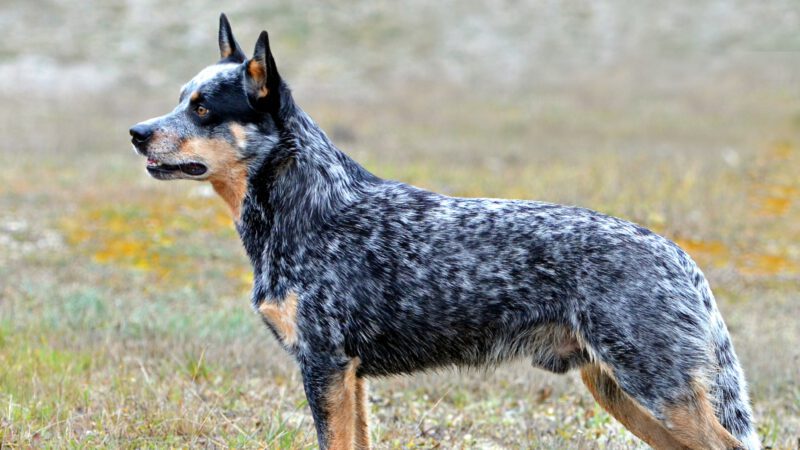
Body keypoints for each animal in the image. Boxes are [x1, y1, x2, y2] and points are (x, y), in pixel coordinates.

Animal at [128, 14, 760, 450]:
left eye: (204, 109)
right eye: (180, 99)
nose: (136, 132)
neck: (309, 209)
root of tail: (679, 256)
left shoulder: (325, 363)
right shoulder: (349, 375)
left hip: (657, 391)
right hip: (622, 392)